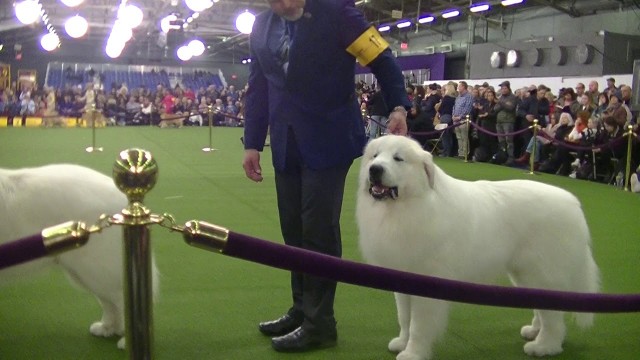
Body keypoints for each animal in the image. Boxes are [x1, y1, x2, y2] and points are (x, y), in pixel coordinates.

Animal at [0, 165, 159, 350]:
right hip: (89, 274)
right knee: (110, 303)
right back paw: (107, 328)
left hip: (96, 270)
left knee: (122, 300)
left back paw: (128, 341)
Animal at [356, 136, 600, 360]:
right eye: (374, 156)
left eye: (398, 158)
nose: (375, 169)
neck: (411, 205)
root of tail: (573, 205)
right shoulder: (402, 279)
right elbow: (404, 318)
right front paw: (401, 342)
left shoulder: (427, 284)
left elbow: (418, 324)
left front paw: (413, 353)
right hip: (526, 274)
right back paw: (534, 331)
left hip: (542, 272)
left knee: (553, 316)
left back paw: (544, 346)